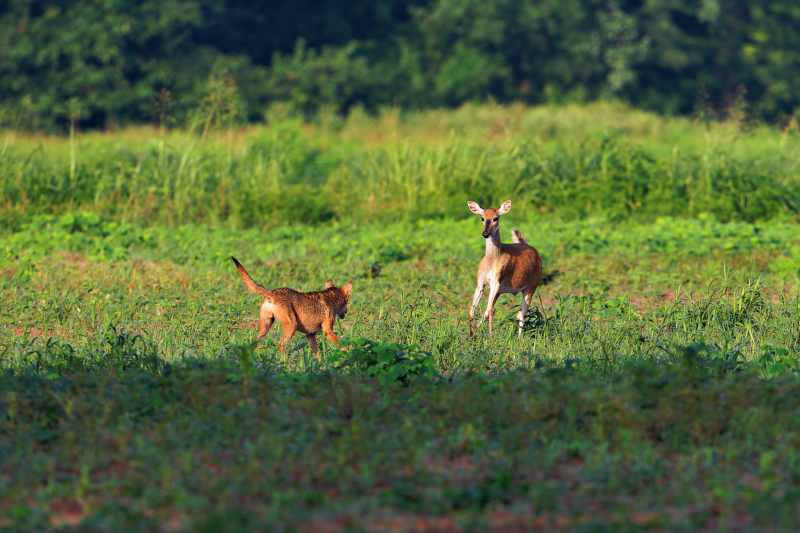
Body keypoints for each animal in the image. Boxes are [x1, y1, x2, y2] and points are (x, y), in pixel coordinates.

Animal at [468, 200, 544, 336]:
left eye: (496, 218)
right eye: (482, 218)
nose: (485, 233)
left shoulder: (496, 282)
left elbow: (490, 310)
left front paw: (490, 337)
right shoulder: (481, 283)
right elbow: (473, 311)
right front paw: (471, 336)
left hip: (531, 287)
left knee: (521, 314)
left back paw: (519, 339)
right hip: (501, 291)